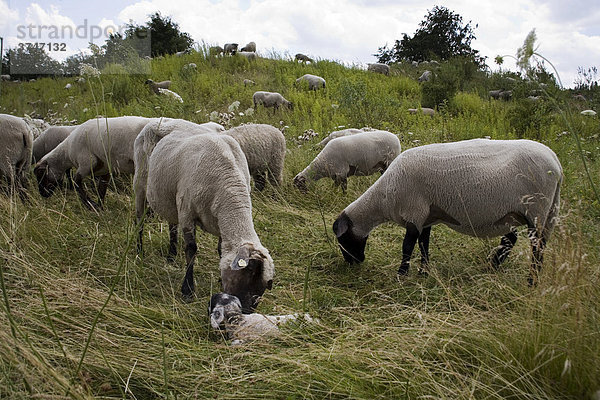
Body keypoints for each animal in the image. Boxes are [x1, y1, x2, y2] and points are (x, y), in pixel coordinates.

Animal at [144, 128, 276, 306]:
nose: (245, 311)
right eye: (247, 277)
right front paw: (187, 290)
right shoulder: (187, 213)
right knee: (166, 226)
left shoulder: (221, 224)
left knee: (172, 225)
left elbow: (221, 250)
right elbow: (191, 249)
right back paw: (163, 254)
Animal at [332, 139, 564, 286]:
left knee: (536, 249)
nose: (354, 263)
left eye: (342, 240)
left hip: (536, 210)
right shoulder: (426, 217)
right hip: (540, 212)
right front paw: (423, 273)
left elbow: (407, 247)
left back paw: (530, 282)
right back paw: (497, 266)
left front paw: (401, 276)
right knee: (524, 243)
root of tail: (556, 163)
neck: (384, 196)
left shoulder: (414, 214)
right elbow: (424, 245)